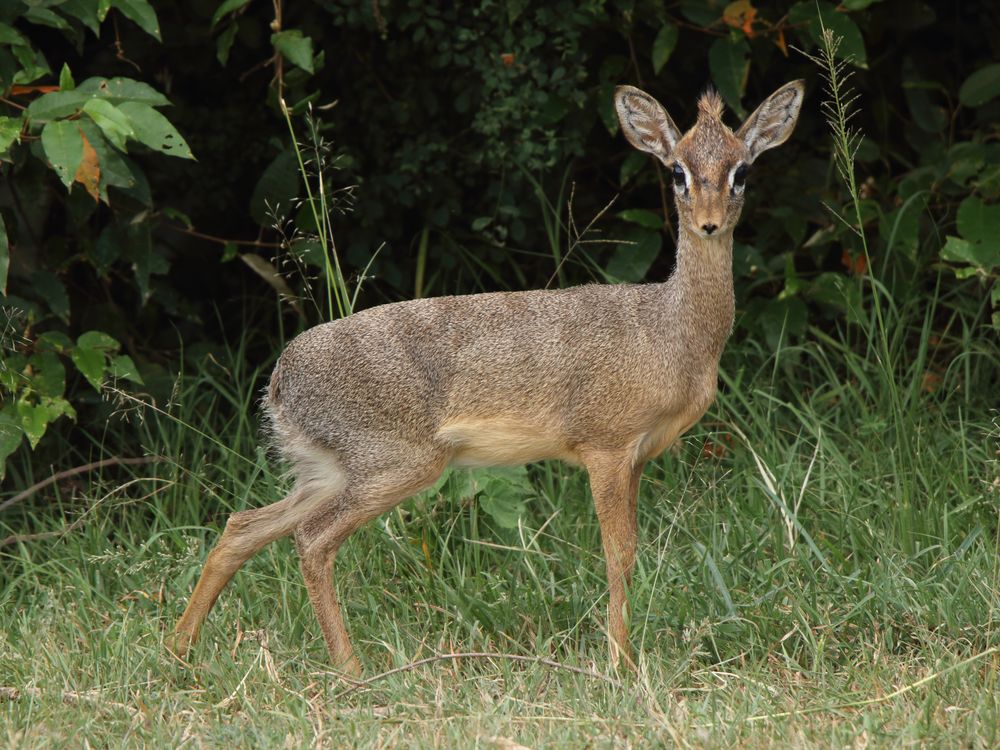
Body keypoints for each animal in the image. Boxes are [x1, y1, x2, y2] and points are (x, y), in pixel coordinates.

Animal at [170, 81, 804, 676]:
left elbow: (630, 551)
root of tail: (280, 381)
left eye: (741, 170)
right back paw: (352, 671)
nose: (709, 224)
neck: (673, 333)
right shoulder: (605, 446)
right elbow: (616, 553)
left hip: (327, 471)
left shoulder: (640, 456)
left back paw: (179, 650)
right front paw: (619, 664)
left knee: (242, 527)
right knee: (311, 541)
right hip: (394, 465)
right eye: (677, 170)